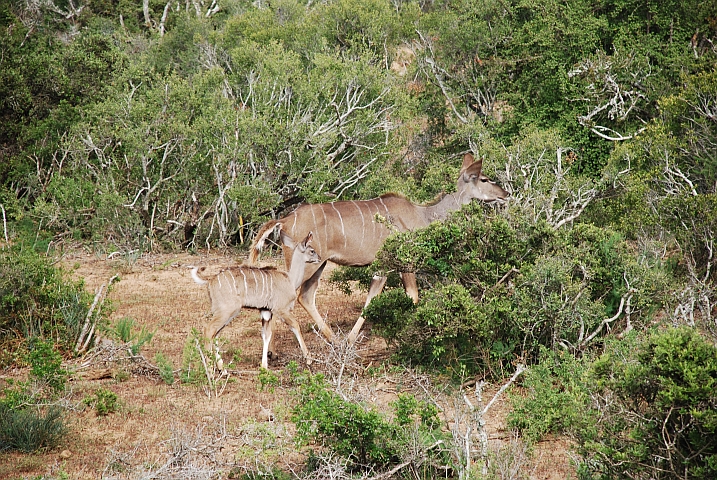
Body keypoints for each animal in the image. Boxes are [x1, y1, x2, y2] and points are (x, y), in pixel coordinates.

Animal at [193, 231, 322, 370]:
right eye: (312, 250)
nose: (320, 258)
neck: (290, 280)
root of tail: (210, 280)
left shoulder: (266, 312)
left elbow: (266, 335)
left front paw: (264, 366)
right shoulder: (281, 309)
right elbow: (295, 326)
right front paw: (309, 359)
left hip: (226, 312)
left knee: (215, 333)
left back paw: (222, 369)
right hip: (227, 310)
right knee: (209, 330)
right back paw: (210, 369)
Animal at [249, 152, 506, 344]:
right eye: (483, 179)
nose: (504, 194)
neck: (423, 215)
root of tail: (284, 220)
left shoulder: (383, 266)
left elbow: (372, 298)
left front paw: (351, 339)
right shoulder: (405, 261)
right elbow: (412, 296)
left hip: (318, 263)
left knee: (306, 295)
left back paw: (333, 339)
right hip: (307, 263)